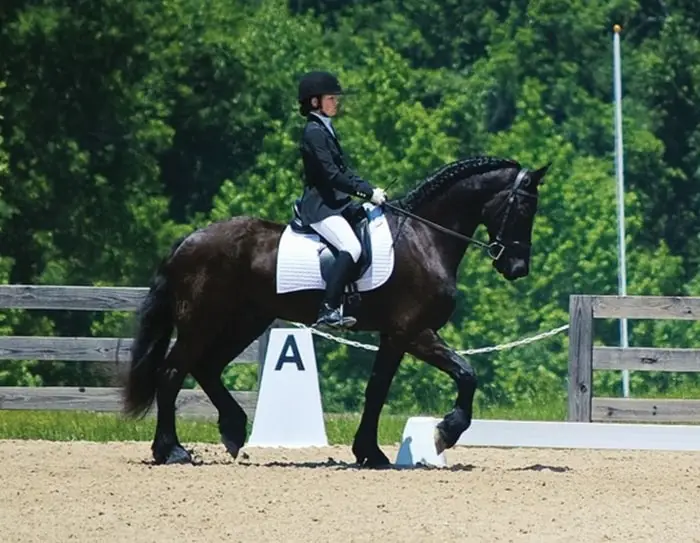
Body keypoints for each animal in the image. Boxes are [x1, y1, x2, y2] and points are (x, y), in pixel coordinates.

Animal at [124, 155, 552, 466]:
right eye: (523, 208)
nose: (517, 267)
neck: (425, 238)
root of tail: (187, 241)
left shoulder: (397, 335)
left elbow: (382, 389)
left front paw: (371, 452)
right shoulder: (412, 331)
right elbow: (462, 374)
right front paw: (442, 433)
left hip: (245, 321)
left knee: (205, 368)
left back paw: (232, 430)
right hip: (202, 321)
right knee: (172, 373)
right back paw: (172, 451)